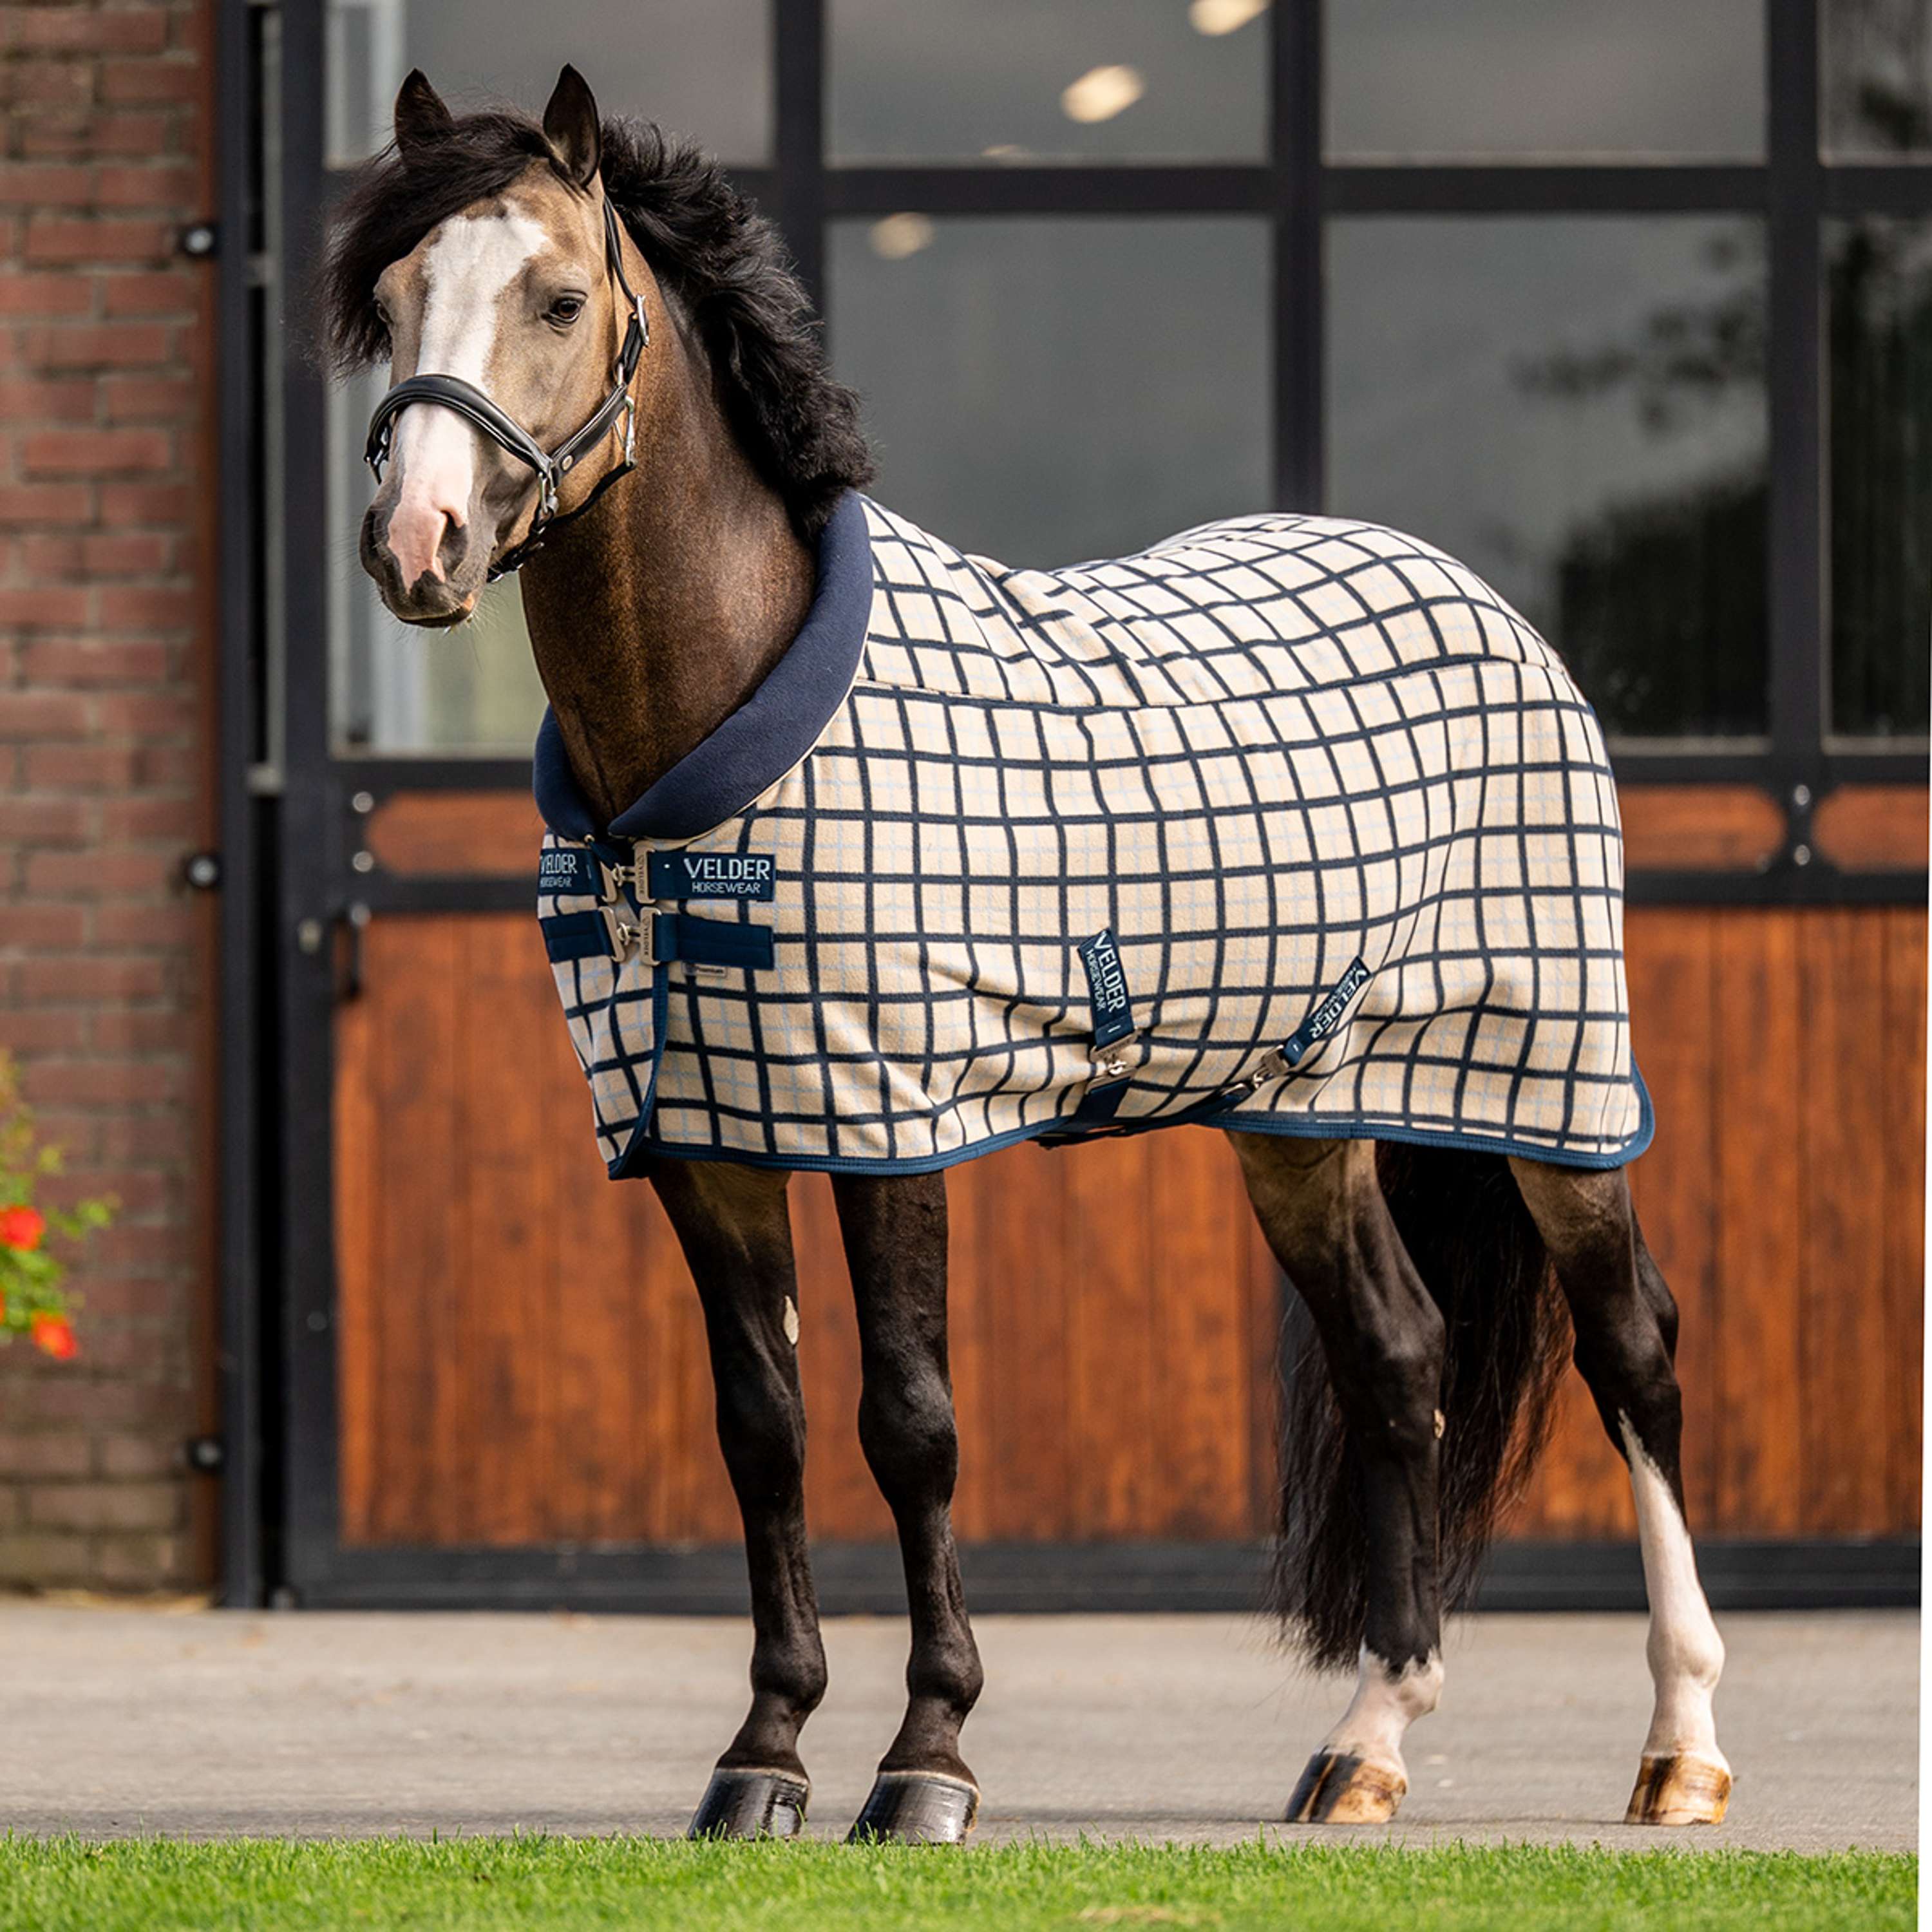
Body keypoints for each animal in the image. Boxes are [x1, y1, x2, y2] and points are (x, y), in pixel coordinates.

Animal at [321, 64, 1731, 1844]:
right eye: (388, 302)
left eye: (561, 298)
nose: (415, 543)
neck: (715, 734)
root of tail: (1485, 604)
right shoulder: (707, 1135)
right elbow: (763, 1428)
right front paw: (764, 1755)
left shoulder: (887, 1115)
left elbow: (909, 1422)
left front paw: (926, 1759)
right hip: (1307, 1114)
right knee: (1397, 1360)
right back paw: (1367, 1745)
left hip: (1553, 1087)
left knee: (1636, 1352)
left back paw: (1681, 1747)